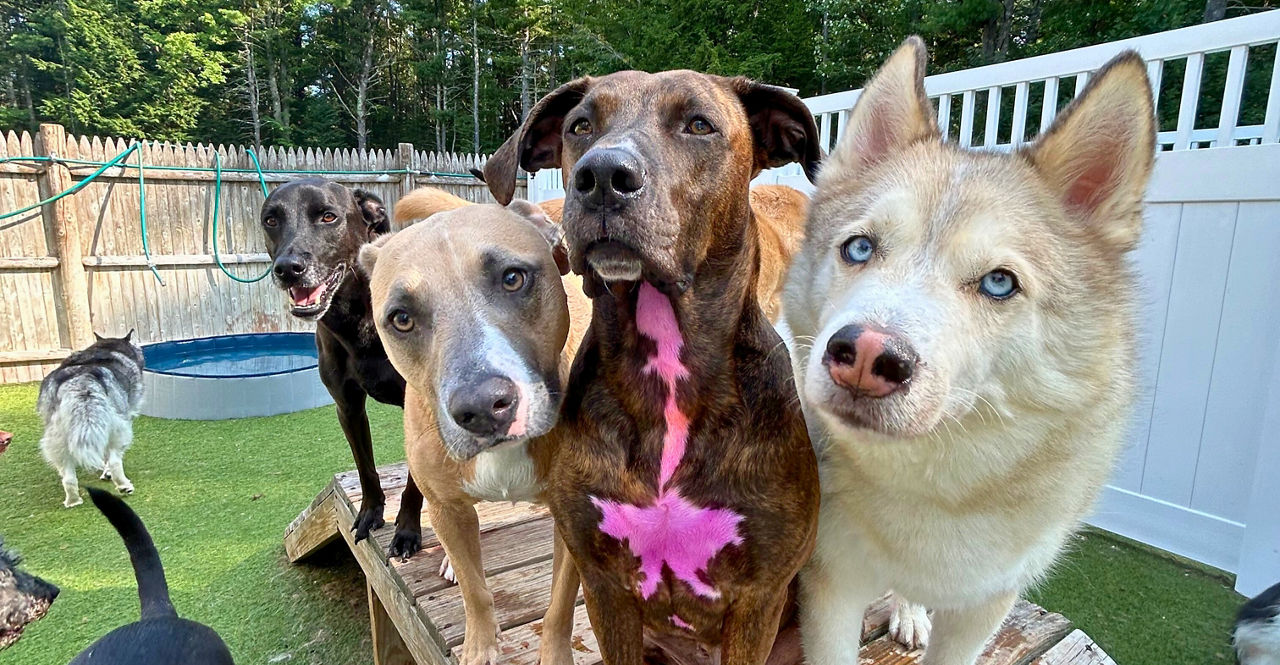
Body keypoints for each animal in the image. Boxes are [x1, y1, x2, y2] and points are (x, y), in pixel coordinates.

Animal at [37, 329, 144, 506]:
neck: (107, 347)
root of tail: (81, 381)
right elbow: (108, 458)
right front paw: (107, 473)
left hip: (57, 438)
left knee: (68, 477)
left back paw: (73, 500)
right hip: (120, 429)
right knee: (114, 461)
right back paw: (124, 485)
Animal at [257, 177, 422, 555]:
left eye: (328, 216)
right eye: (271, 220)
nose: (288, 268)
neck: (358, 317)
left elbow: (413, 483)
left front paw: (407, 530)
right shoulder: (347, 407)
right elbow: (365, 469)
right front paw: (369, 514)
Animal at [483, 72, 824, 665]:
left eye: (699, 125)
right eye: (580, 126)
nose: (601, 176)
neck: (665, 366)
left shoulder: (759, 599)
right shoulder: (605, 589)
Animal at [778, 37, 1162, 665]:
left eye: (999, 283)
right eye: (859, 248)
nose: (867, 356)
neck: (934, 485)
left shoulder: (986, 603)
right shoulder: (832, 583)